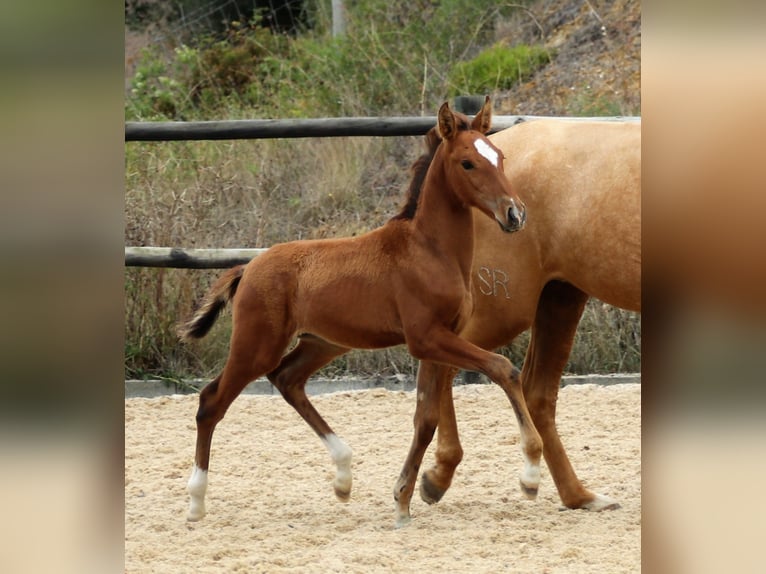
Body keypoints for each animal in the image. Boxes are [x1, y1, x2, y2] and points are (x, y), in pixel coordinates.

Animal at [178, 100, 544, 528]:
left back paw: (343, 477)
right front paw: (530, 475)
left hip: (322, 344)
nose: (515, 214)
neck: (430, 250)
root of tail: (248, 268)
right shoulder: (426, 338)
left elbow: (426, 419)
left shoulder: (440, 341)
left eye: (500, 156)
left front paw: (402, 501)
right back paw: (196, 502)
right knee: (211, 402)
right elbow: (503, 368)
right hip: (257, 346)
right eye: (468, 163)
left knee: (287, 379)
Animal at [396, 118, 640, 528]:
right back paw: (436, 477)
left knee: (536, 392)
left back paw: (579, 496)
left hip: (561, 297)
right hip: (506, 310)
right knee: (446, 367)